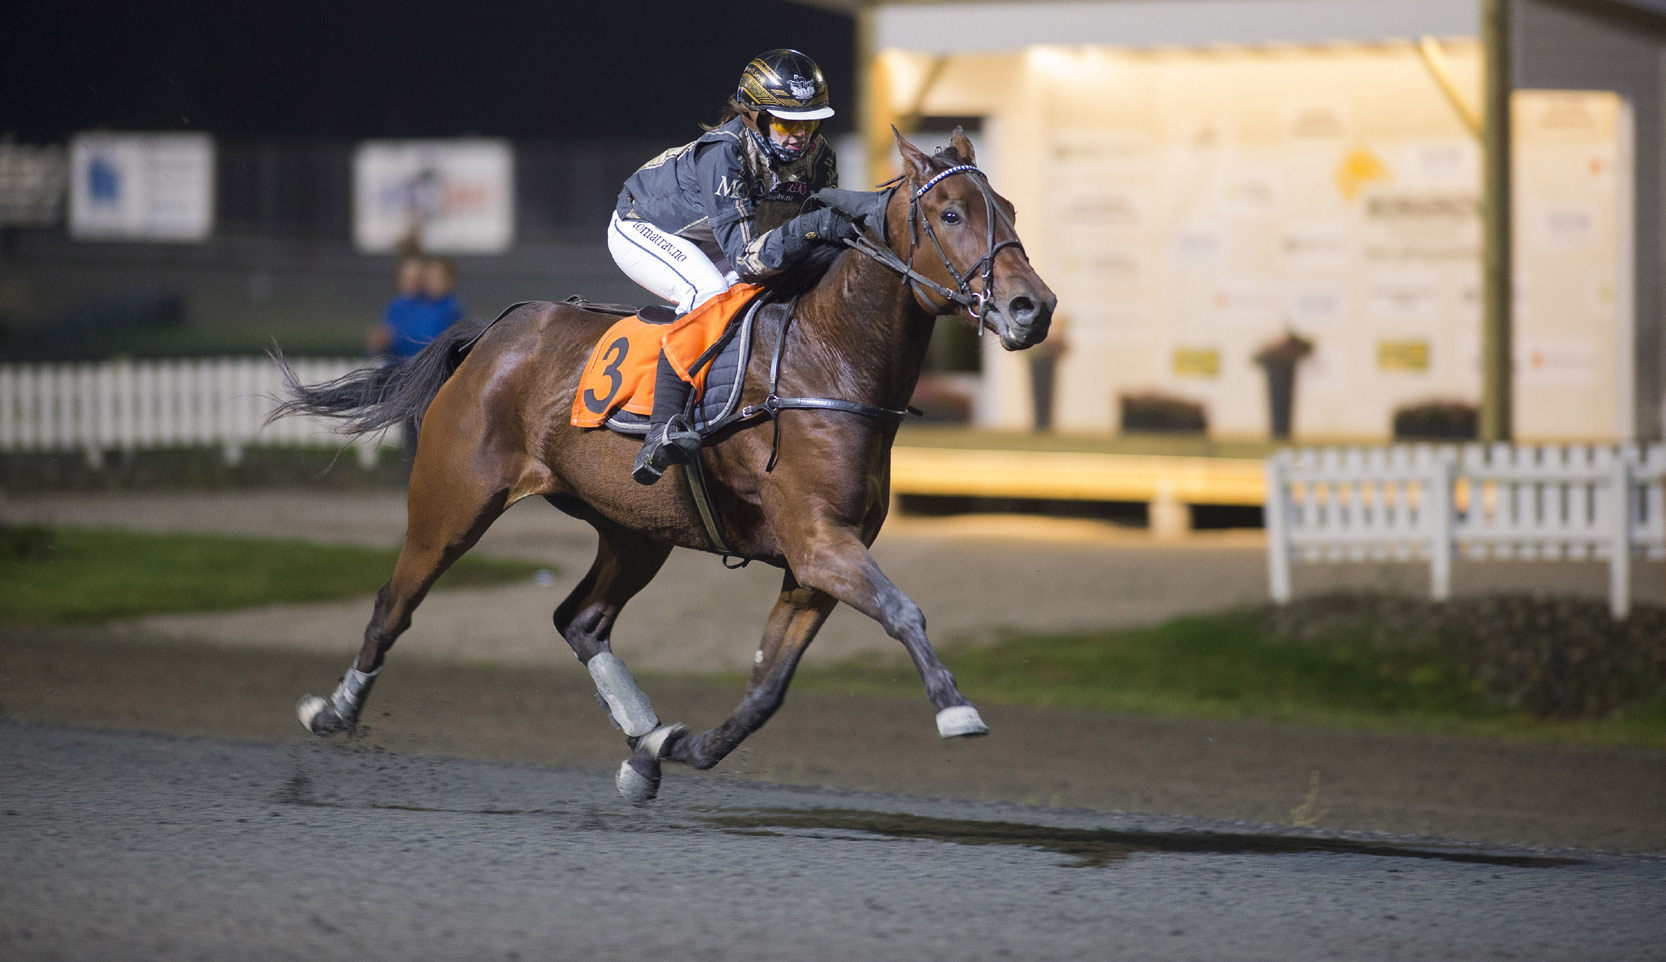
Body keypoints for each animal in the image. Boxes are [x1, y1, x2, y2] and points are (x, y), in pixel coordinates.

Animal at [271, 129, 1052, 803]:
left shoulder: (814, 567)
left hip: (633, 529)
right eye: (950, 213)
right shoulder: (819, 545)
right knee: (393, 605)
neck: (828, 362)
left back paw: (645, 742)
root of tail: (490, 336)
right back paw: (331, 712)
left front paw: (683, 747)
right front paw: (955, 709)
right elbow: (902, 610)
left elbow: (767, 687)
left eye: (1009, 210)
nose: (1032, 307)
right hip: (453, 501)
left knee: (580, 621)